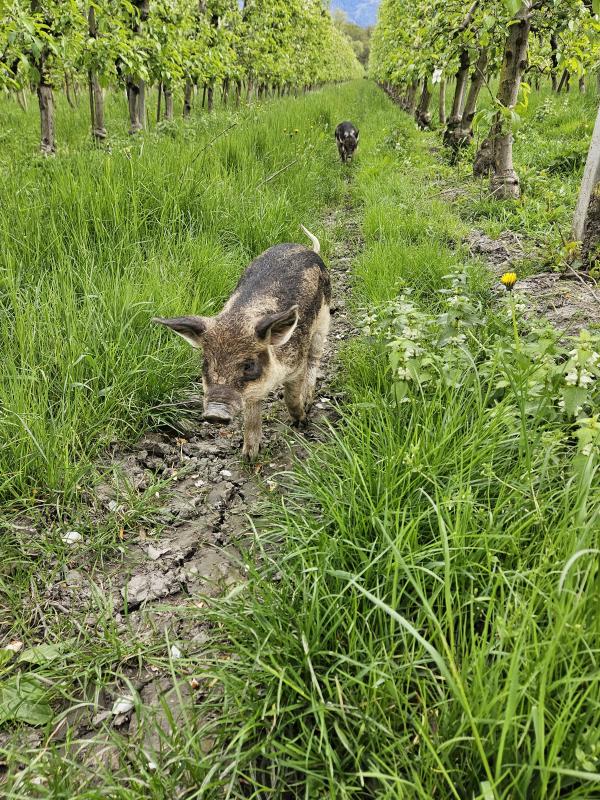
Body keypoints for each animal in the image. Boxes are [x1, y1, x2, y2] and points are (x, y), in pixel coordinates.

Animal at [152, 225, 330, 462]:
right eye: (205, 364)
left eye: (249, 365)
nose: (215, 414)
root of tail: (306, 248)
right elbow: (251, 416)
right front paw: (248, 456)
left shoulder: (295, 364)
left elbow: (290, 397)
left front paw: (301, 422)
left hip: (324, 321)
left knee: (315, 358)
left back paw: (309, 400)